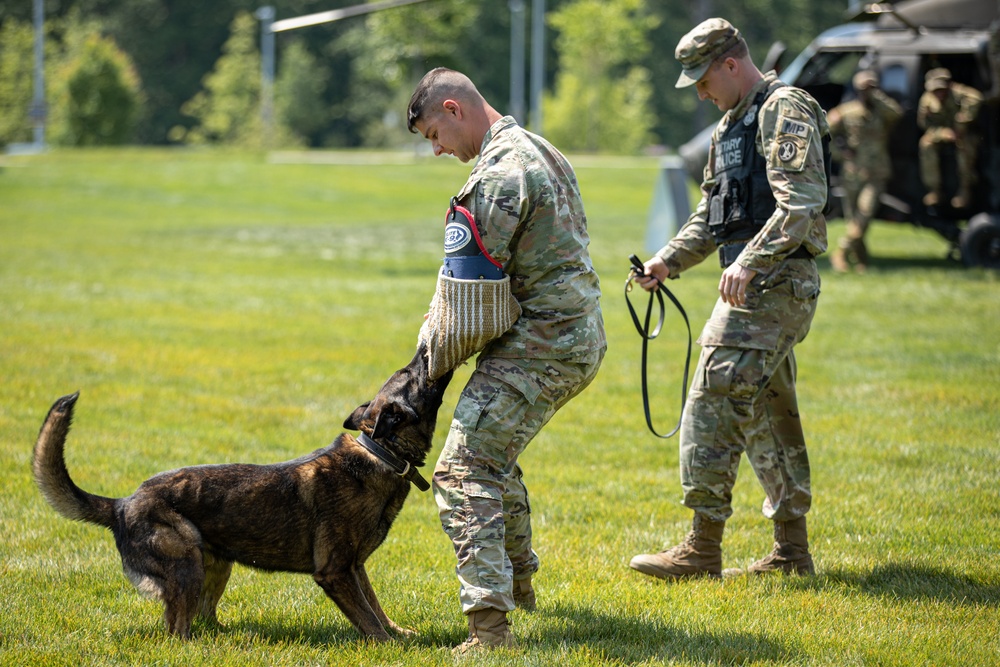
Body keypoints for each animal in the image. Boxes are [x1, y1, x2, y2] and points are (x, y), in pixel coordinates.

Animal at [31, 344, 454, 640]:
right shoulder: (335, 572)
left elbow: (376, 606)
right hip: (186, 561)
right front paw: (389, 644)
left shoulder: (355, 567)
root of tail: (121, 505)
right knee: (177, 630)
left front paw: (399, 634)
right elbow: (367, 619)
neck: (380, 452)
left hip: (216, 565)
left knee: (204, 618)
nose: (426, 348)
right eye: (412, 372)